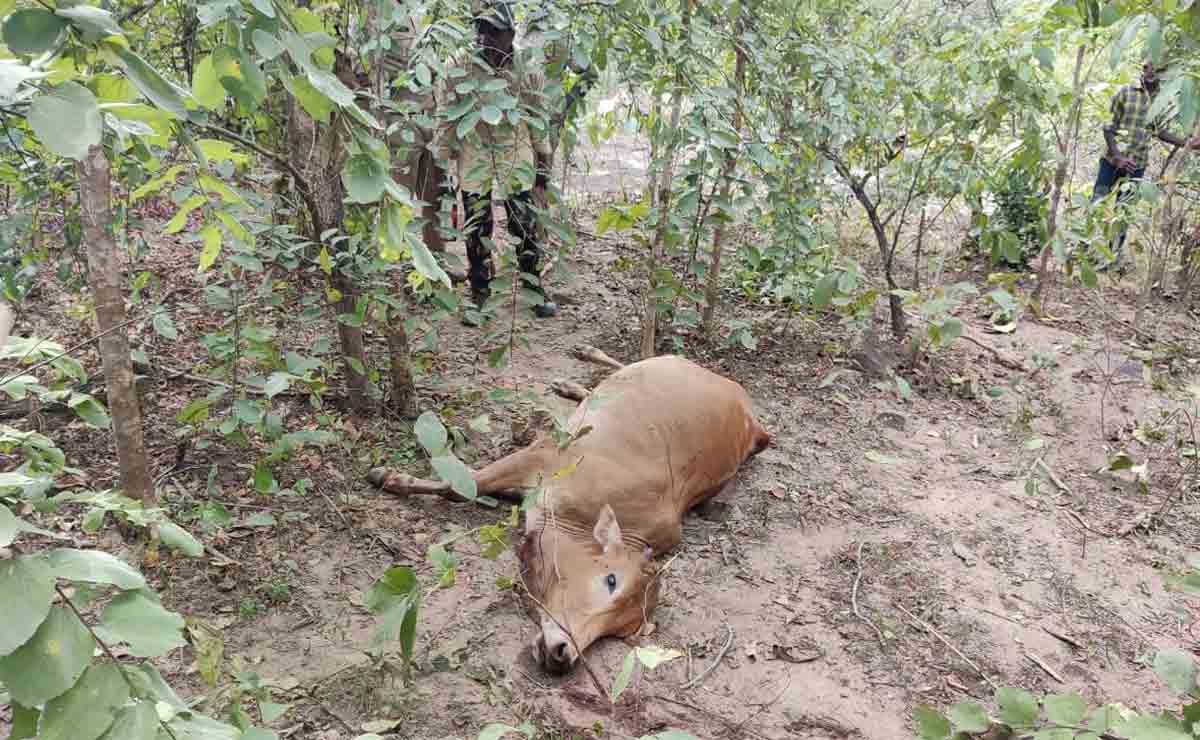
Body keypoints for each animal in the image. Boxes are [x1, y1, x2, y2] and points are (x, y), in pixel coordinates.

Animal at [366, 347, 771, 675]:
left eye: (624, 631)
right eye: (611, 580)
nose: (563, 653)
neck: (576, 519)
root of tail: (751, 418)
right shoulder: (544, 453)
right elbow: (461, 485)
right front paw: (390, 477)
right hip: (664, 361)